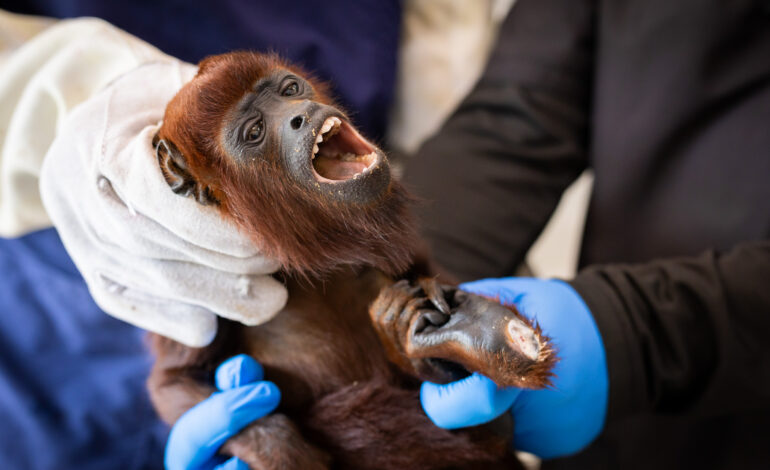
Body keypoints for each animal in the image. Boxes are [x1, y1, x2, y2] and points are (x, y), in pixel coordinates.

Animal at [148, 51, 556, 470]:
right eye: (254, 132)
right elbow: (175, 382)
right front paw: (284, 452)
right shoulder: (200, 285)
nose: (301, 114)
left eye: (290, 89)